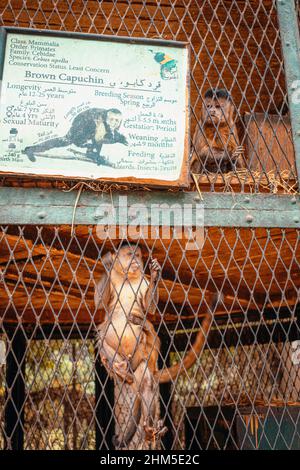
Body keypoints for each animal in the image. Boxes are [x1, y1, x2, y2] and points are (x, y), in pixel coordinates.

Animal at [95, 242, 219, 448]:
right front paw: (106, 263)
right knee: (102, 334)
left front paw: (155, 275)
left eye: (138, 255)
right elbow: (99, 303)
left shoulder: (143, 282)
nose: (136, 260)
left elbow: (149, 308)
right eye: (130, 254)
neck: (128, 277)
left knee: (145, 379)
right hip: (125, 358)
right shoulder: (111, 279)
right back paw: (120, 370)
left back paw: (149, 429)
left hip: (141, 359)